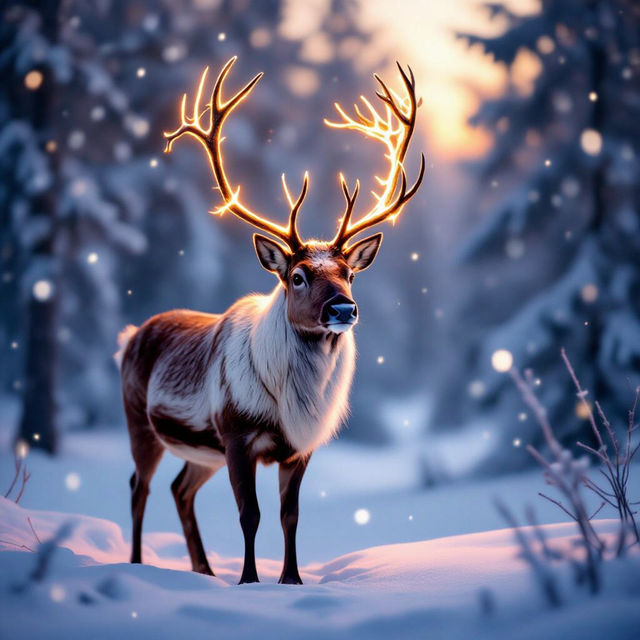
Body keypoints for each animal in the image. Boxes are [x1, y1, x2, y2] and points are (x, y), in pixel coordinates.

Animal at [115, 56, 424, 585]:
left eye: (348, 274)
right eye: (298, 276)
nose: (343, 309)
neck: (291, 405)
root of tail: (131, 335)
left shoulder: (299, 447)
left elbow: (289, 514)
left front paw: (291, 580)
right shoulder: (236, 433)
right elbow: (250, 514)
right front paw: (248, 580)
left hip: (201, 450)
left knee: (179, 488)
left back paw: (203, 570)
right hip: (141, 421)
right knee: (140, 486)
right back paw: (137, 563)